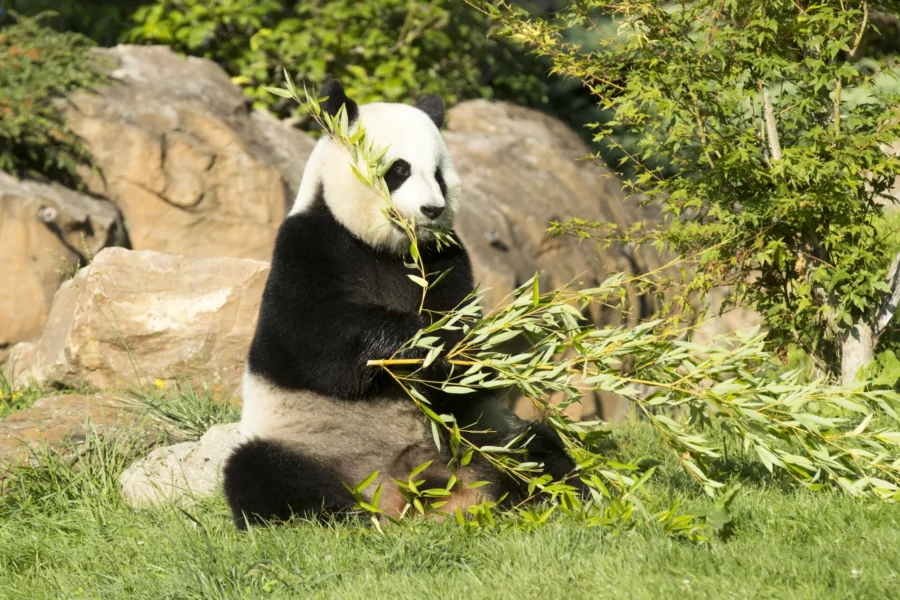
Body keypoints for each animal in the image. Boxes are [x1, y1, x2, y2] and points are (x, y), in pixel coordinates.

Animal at [221, 82, 580, 528]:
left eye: (439, 174)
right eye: (399, 170)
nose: (432, 209)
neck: (390, 246)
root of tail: (403, 490)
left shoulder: (445, 257)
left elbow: (463, 335)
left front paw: (453, 350)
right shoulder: (308, 244)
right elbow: (313, 338)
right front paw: (414, 343)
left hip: (482, 433)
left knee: (535, 448)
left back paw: (559, 493)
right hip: (308, 444)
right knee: (261, 476)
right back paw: (337, 516)